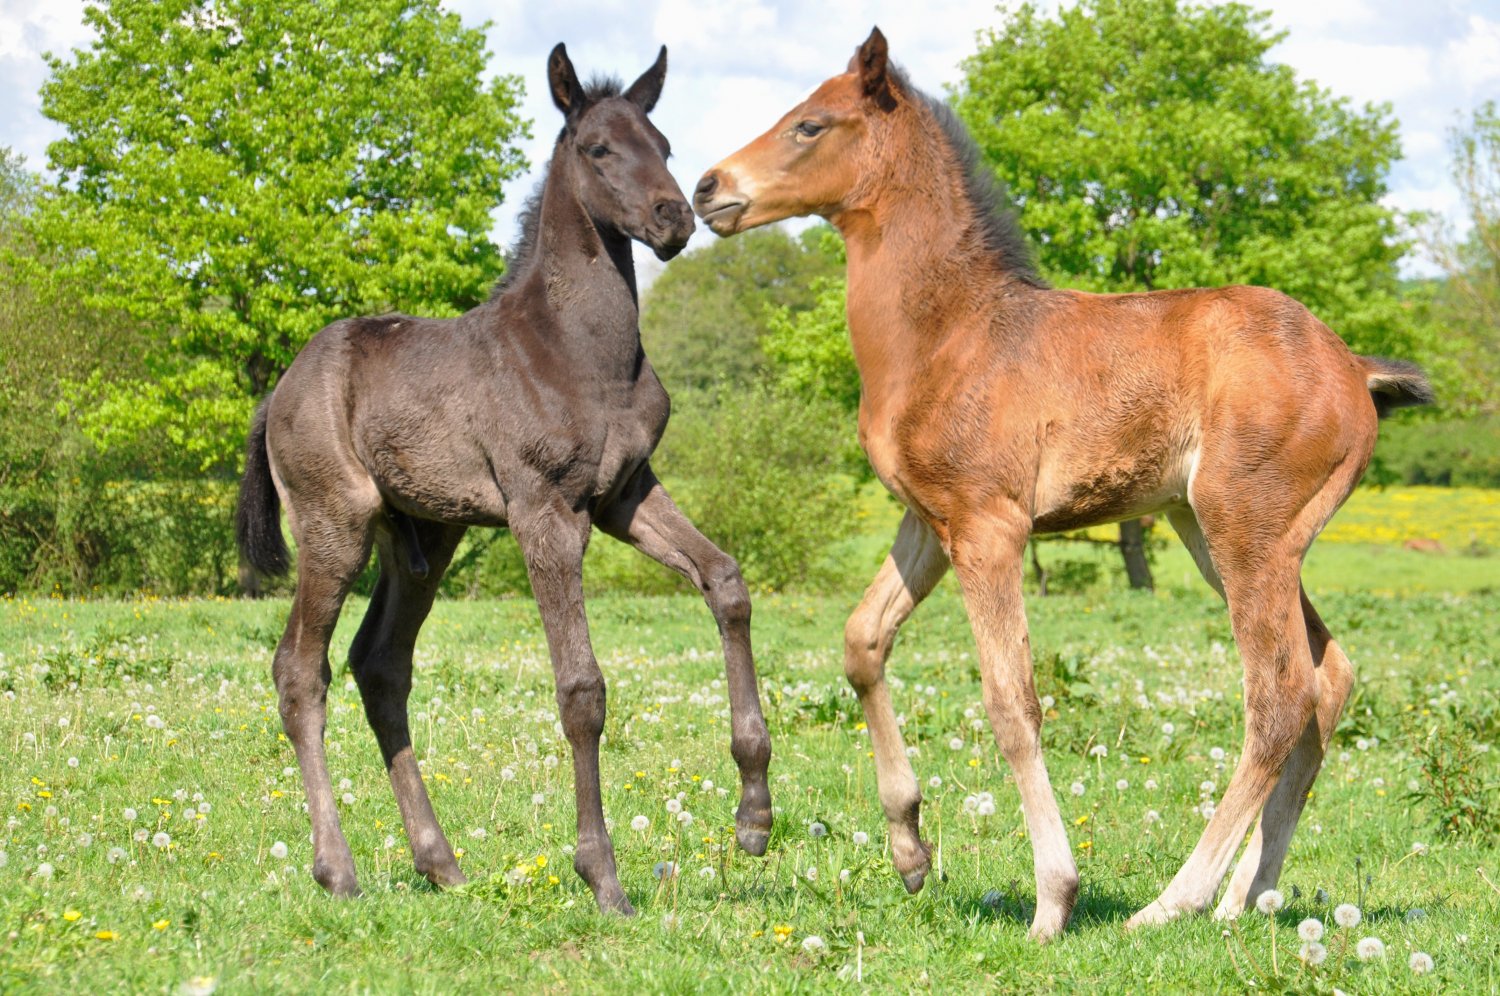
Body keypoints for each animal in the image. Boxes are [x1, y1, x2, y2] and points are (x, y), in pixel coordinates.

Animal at [235, 43, 773, 914]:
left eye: (662, 141)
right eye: (598, 148)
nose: (673, 219)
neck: (582, 352)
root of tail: (276, 391)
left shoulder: (624, 494)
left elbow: (726, 582)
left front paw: (754, 816)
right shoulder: (543, 509)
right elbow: (581, 688)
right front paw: (602, 876)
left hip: (428, 535)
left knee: (380, 666)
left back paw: (440, 862)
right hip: (333, 525)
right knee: (299, 671)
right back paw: (338, 868)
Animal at [693, 27, 1432, 940]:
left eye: (809, 125)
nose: (709, 188)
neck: (949, 333)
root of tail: (1354, 367)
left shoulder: (990, 528)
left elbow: (1012, 703)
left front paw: (1054, 897)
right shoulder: (928, 522)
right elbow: (864, 642)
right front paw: (910, 849)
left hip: (1246, 528)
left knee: (1279, 692)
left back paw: (1175, 900)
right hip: (1222, 534)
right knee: (1329, 679)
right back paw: (1245, 896)